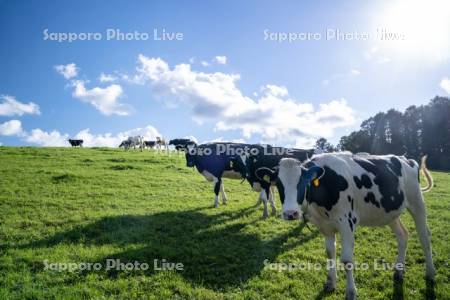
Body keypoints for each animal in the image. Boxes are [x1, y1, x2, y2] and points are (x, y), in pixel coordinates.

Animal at [258, 154, 434, 298]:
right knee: (403, 235)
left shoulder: (347, 223)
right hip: (390, 212)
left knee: (425, 238)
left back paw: (430, 273)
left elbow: (347, 260)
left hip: (417, 203)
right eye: (278, 183)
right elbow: (330, 253)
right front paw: (330, 283)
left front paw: (351, 292)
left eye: (303, 181)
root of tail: (405, 159)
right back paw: (398, 271)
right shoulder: (326, 227)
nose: (291, 213)